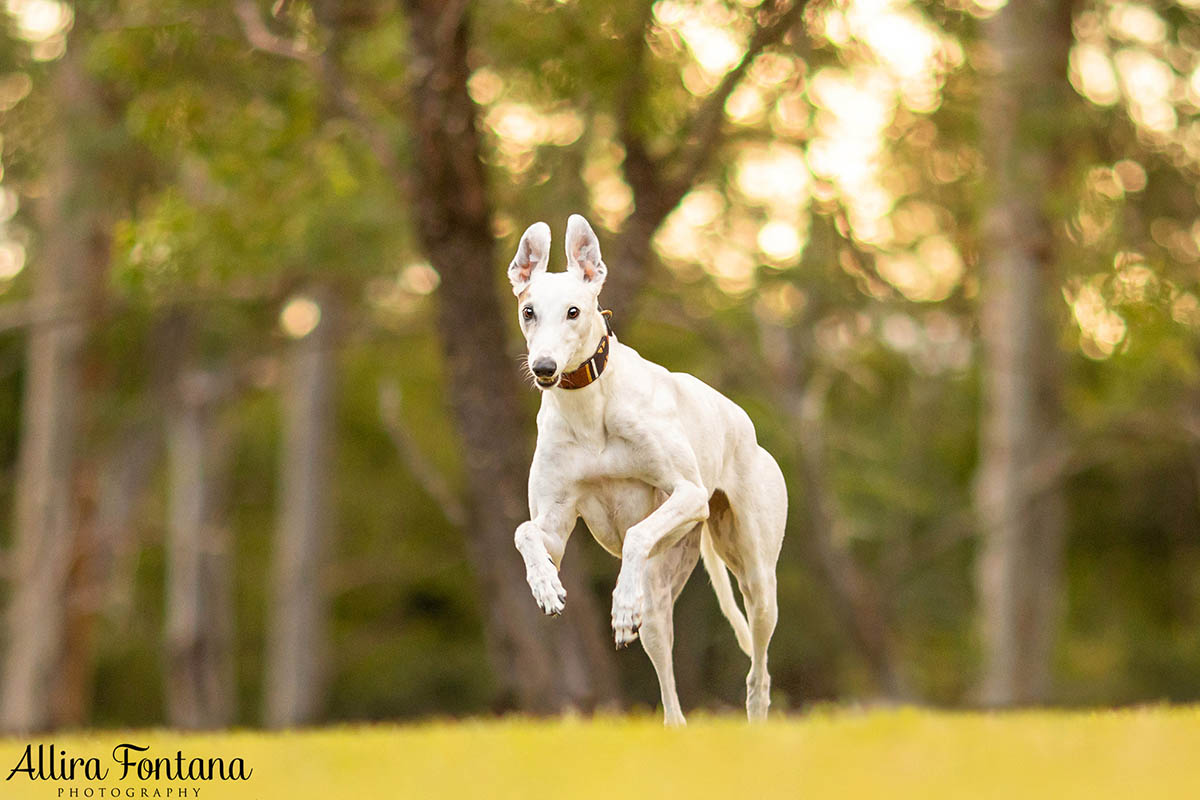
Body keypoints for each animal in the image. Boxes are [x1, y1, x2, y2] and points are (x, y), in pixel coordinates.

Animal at [506, 212, 787, 724]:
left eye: (574, 311)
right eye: (528, 311)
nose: (544, 368)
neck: (589, 407)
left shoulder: (689, 494)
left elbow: (637, 531)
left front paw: (618, 608)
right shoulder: (554, 528)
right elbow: (526, 533)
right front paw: (546, 587)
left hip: (756, 576)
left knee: (759, 670)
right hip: (660, 596)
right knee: (669, 688)